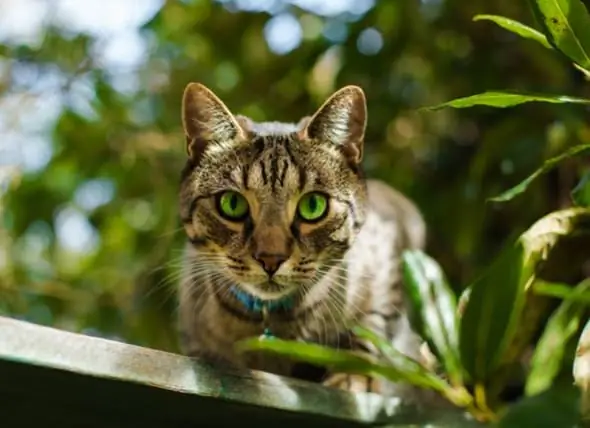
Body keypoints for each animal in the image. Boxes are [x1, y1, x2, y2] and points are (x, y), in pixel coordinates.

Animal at [178, 83, 428, 398]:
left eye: (313, 206)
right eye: (232, 204)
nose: (270, 258)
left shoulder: (395, 240)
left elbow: (369, 328)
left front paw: (352, 376)